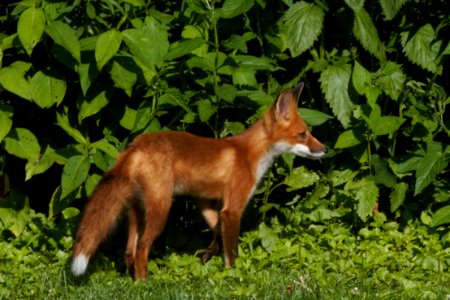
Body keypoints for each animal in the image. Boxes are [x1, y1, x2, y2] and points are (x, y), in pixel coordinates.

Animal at [72, 81, 328, 278]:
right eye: (303, 134)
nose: (325, 149)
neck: (249, 154)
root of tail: (135, 145)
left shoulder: (205, 201)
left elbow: (216, 232)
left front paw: (208, 254)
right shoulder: (232, 208)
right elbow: (231, 251)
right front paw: (232, 275)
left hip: (138, 210)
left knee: (129, 250)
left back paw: (132, 278)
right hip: (161, 208)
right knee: (143, 247)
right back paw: (144, 282)